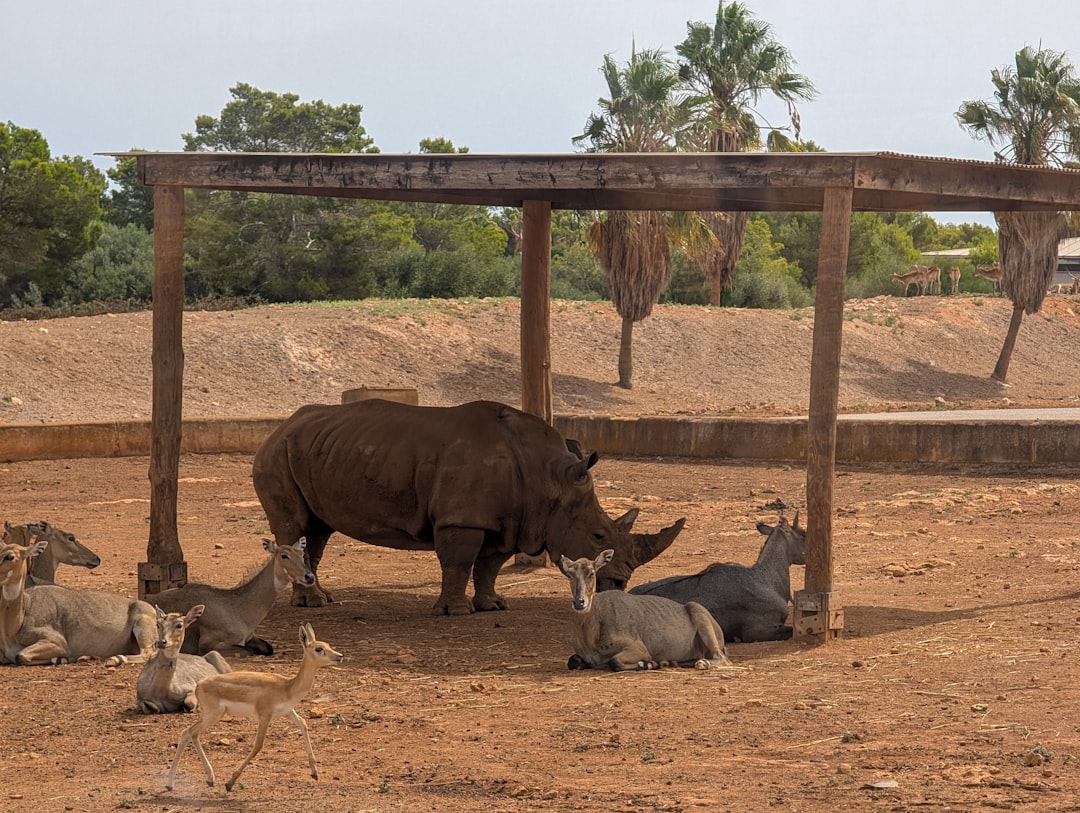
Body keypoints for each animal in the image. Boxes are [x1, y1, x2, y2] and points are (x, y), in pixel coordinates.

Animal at [252, 399, 684, 615]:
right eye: (597, 535)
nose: (620, 585)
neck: (548, 479)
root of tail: (278, 426)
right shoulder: (463, 518)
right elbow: (459, 562)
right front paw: (456, 612)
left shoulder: (509, 520)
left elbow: (489, 565)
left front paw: (493, 606)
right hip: (275, 453)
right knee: (295, 526)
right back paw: (312, 604)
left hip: (312, 450)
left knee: (317, 531)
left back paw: (320, 599)